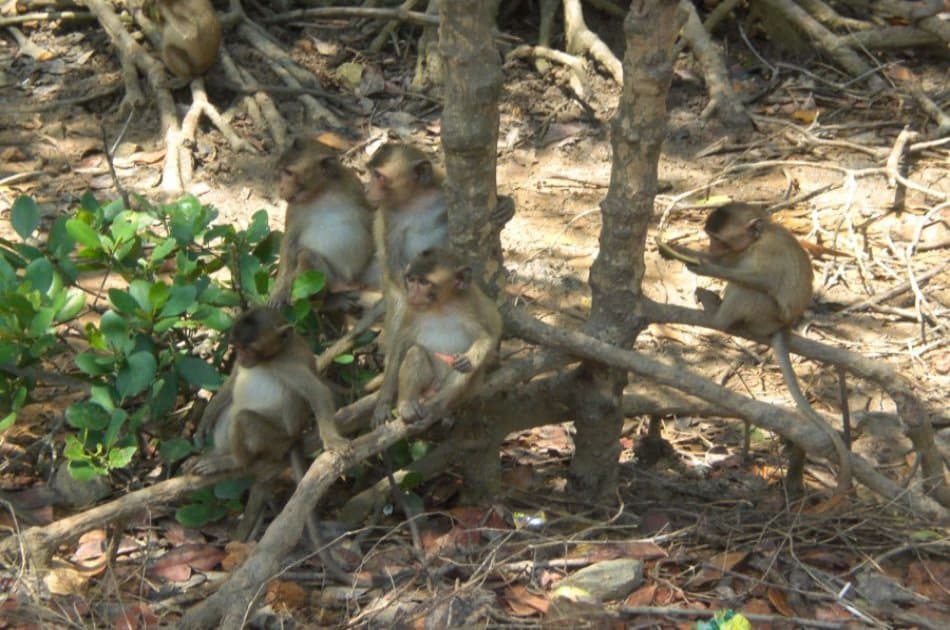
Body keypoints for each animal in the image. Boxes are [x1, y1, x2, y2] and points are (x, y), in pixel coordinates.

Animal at [268, 136, 375, 308]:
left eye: (289, 173)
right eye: (282, 171)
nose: (281, 188)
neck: (322, 191)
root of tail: (348, 282)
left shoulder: (354, 185)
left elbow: (371, 218)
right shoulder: (294, 209)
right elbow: (289, 242)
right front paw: (279, 291)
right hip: (329, 279)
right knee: (306, 256)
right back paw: (329, 301)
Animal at [371, 248, 502, 427]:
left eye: (424, 282)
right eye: (411, 279)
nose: (412, 294)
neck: (440, 306)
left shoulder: (470, 305)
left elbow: (486, 337)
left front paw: (467, 359)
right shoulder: (412, 310)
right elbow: (400, 346)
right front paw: (383, 404)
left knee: (467, 370)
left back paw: (435, 405)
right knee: (415, 353)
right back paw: (407, 406)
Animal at [660, 203, 851, 499]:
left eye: (719, 239)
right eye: (710, 237)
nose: (711, 247)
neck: (758, 238)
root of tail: (785, 325)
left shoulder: (765, 252)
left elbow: (761, 280)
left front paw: (705, 266)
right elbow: (731, 263)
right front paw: (690, 251)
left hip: (765, 316)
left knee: (750, 290)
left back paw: (718, 317)